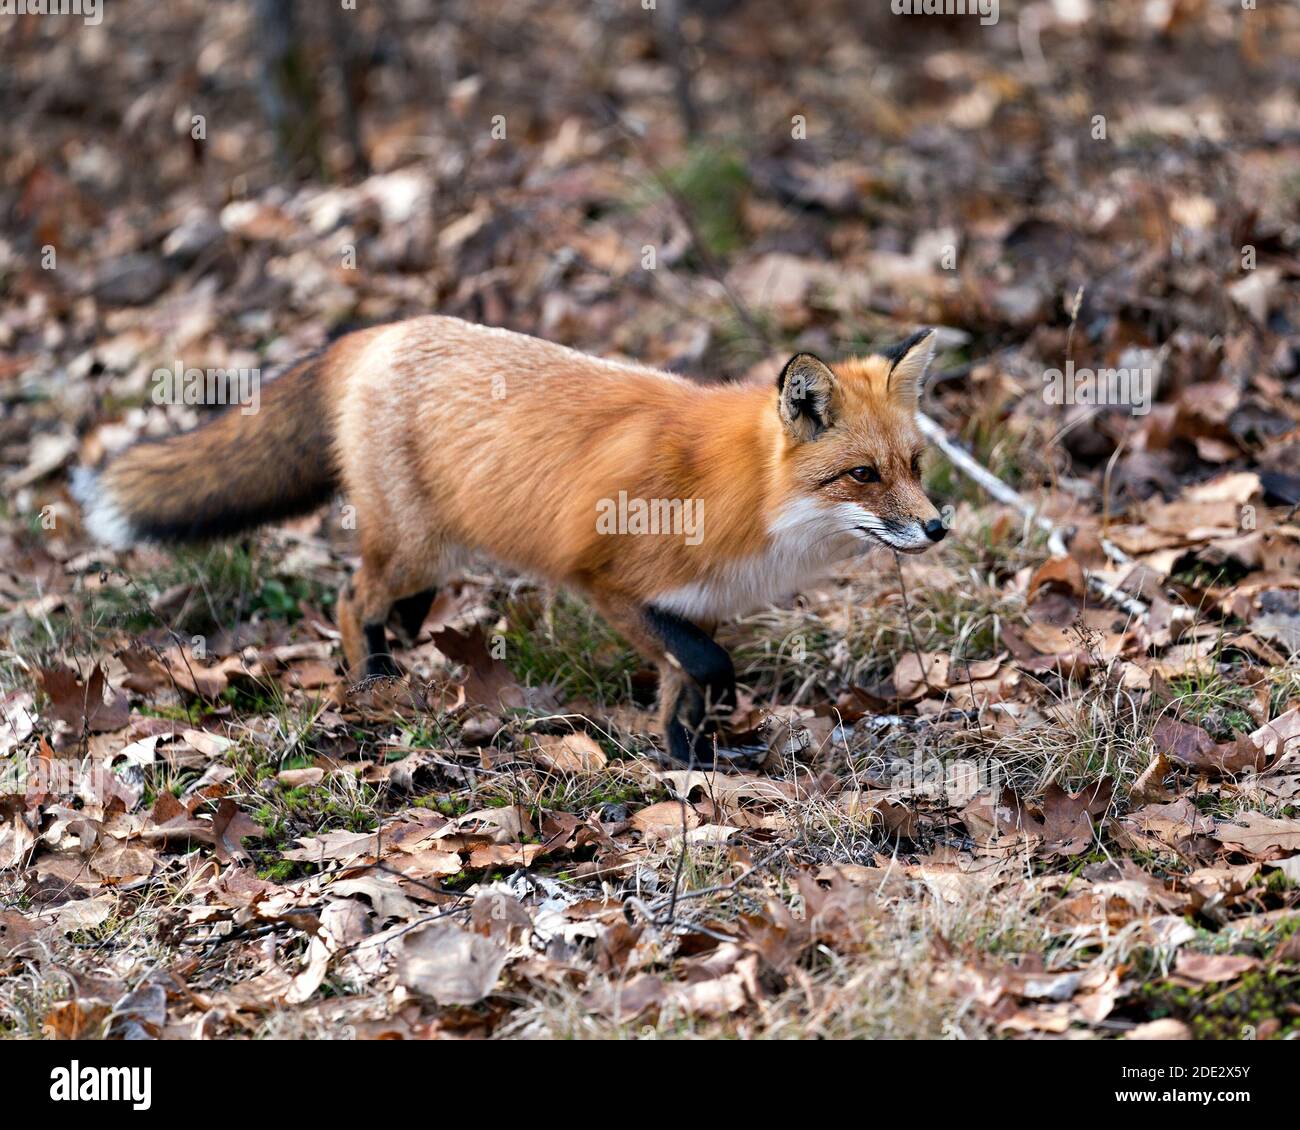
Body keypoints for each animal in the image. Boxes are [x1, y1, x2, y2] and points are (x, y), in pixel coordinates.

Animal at [73, 317, 946, 764]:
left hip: (440, 549)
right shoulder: (607, 580)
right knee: (352, 598)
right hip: (415, 547)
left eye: (915, 464)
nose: (939, 526)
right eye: (861, 475)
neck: (743, 496)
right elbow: (706, 665)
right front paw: (700, 742)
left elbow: (685, 687)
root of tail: (380, 330)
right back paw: (373, 678)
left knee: (394, 602)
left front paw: (691, 757)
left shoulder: (691, 601)